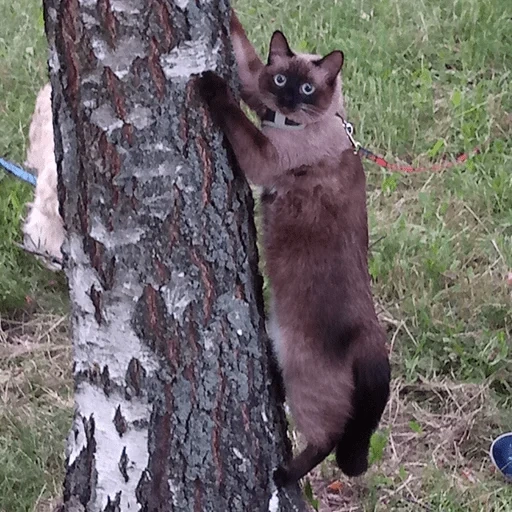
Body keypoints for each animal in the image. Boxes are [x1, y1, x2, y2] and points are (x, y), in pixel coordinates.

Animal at [198, 11, 390, 484]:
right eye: (282, 78)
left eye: (307, 90)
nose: (287, 100)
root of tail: (374, 341)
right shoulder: (257, 89)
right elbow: (246, 58)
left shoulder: (263, 154)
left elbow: (232, 111)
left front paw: (209, 85)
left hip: (307, 383)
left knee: (327, 438)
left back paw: (282, 475)